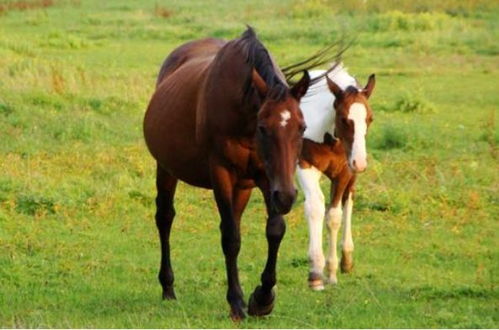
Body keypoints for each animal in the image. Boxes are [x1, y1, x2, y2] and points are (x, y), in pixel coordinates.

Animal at [143, 27, 310, 320]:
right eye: (263, 127)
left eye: (302, 127)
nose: (287, 196)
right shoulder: (220, 172)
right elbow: (231, 238)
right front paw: (237, 302)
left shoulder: (266, 177)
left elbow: (274, 230)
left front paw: (262, 298)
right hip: (165, 168)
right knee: (165, 217)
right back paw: (168, 288)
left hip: (243, 186)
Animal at [296, 63, 376, 288]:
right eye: (343, 119)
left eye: (369, 118)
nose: (360, 162)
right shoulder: (304, 165)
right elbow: (315, 207)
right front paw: (316, 271)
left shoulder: (344, 172)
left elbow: (334, 215)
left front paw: (331, 272)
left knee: (349, 199)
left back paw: (347, 258)